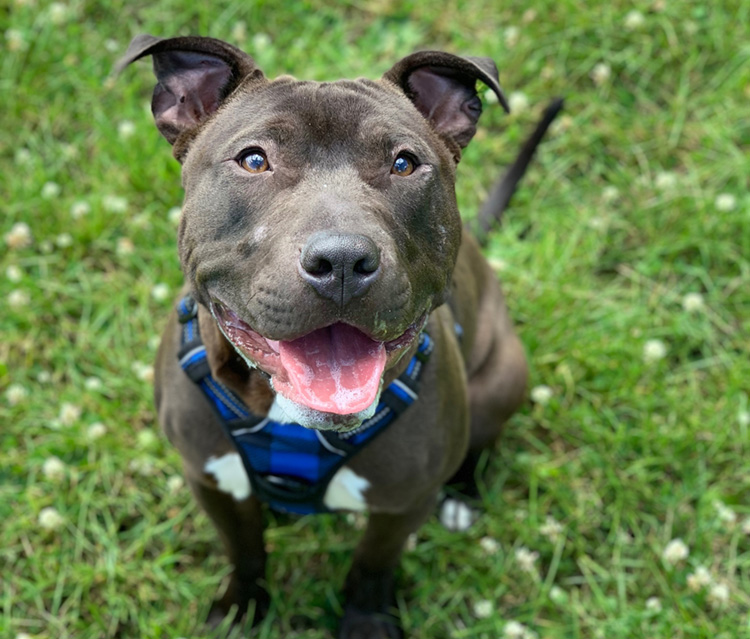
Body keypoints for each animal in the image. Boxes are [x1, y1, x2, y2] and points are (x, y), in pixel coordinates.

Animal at [119, 35, 560, 639]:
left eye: (404, 163)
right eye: (253, 159)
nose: (343, 260)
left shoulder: (402, 504)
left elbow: (373, 565)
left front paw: (365, 621)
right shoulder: (208, 480)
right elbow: (244, 550)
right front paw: (241, 609)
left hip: (503, 378)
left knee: (480, 443)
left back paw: (463, 497)